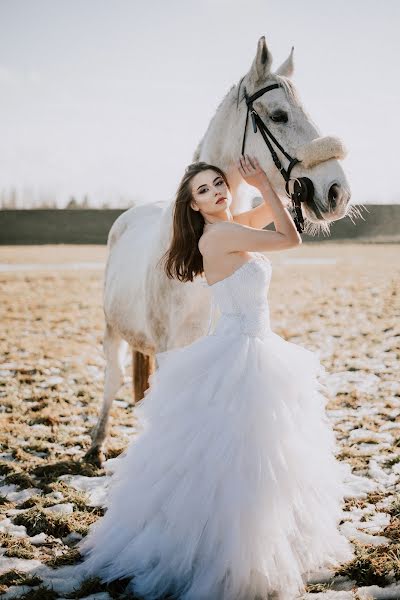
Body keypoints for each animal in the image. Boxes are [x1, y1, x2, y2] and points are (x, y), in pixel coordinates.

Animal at [86, 36, 354, 464]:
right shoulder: (169, 352)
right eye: (279, 115)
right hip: (112, 329)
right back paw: (97, 445)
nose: (337, 193)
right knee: (113, 378)